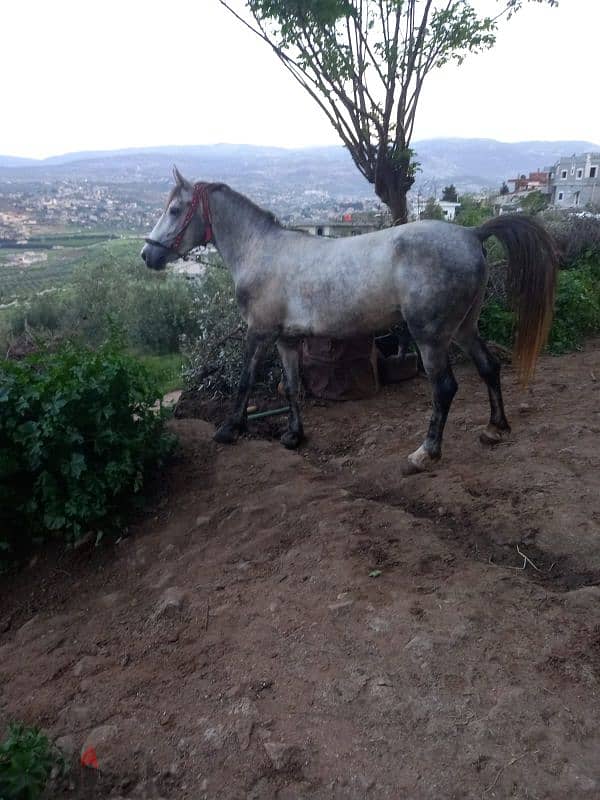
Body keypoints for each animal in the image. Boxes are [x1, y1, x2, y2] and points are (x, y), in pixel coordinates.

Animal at [141, 166, 556, 472]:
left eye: (175, 210)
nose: (148, 255)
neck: (262, 251)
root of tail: (471, 233)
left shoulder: (259, 333)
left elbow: (245, 380)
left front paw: (229, 429)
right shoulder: (286, 339)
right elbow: (292, 387)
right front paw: (293, 436)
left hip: (431, 337)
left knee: (445, 388)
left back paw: (426, 453)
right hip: (464, 328)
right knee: (489, 367)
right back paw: (495, 428)